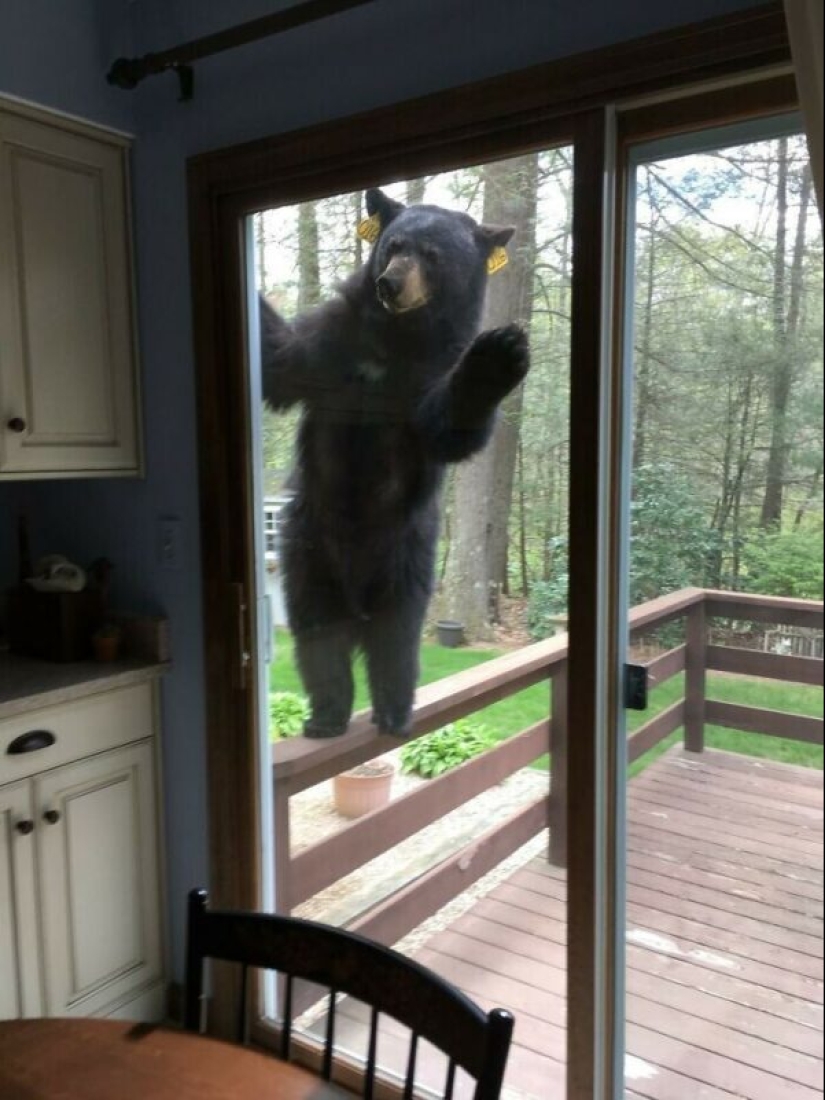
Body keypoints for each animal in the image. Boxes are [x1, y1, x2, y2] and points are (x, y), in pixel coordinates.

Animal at [261, 186, 530, 738]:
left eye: (432, 255)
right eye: (393, 245)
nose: (390, 283)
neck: (396, 340)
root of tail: (356, 597)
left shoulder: (429, 373)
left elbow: (448, 427)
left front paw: (498, 354)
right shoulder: (332, 343)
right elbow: (283, 362)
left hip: (407, 557)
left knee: (396, 640)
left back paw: (393, 710)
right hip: (308, 550)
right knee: (317, 634)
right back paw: (327, 714)